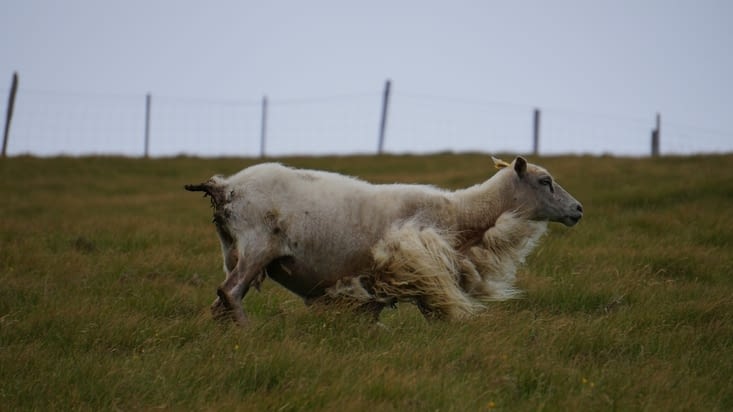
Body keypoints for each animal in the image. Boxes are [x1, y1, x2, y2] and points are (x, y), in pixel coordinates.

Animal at [185, 156, 583, 325]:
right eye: (545, 181)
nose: (578, 209)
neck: (464, 214)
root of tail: (225, 186)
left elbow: (370, 317)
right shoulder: (420, 269)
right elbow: (439, 317)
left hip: (233, 249)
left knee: (221, 299)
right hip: (256, 245)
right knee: (229, 293)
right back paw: (247, 332)